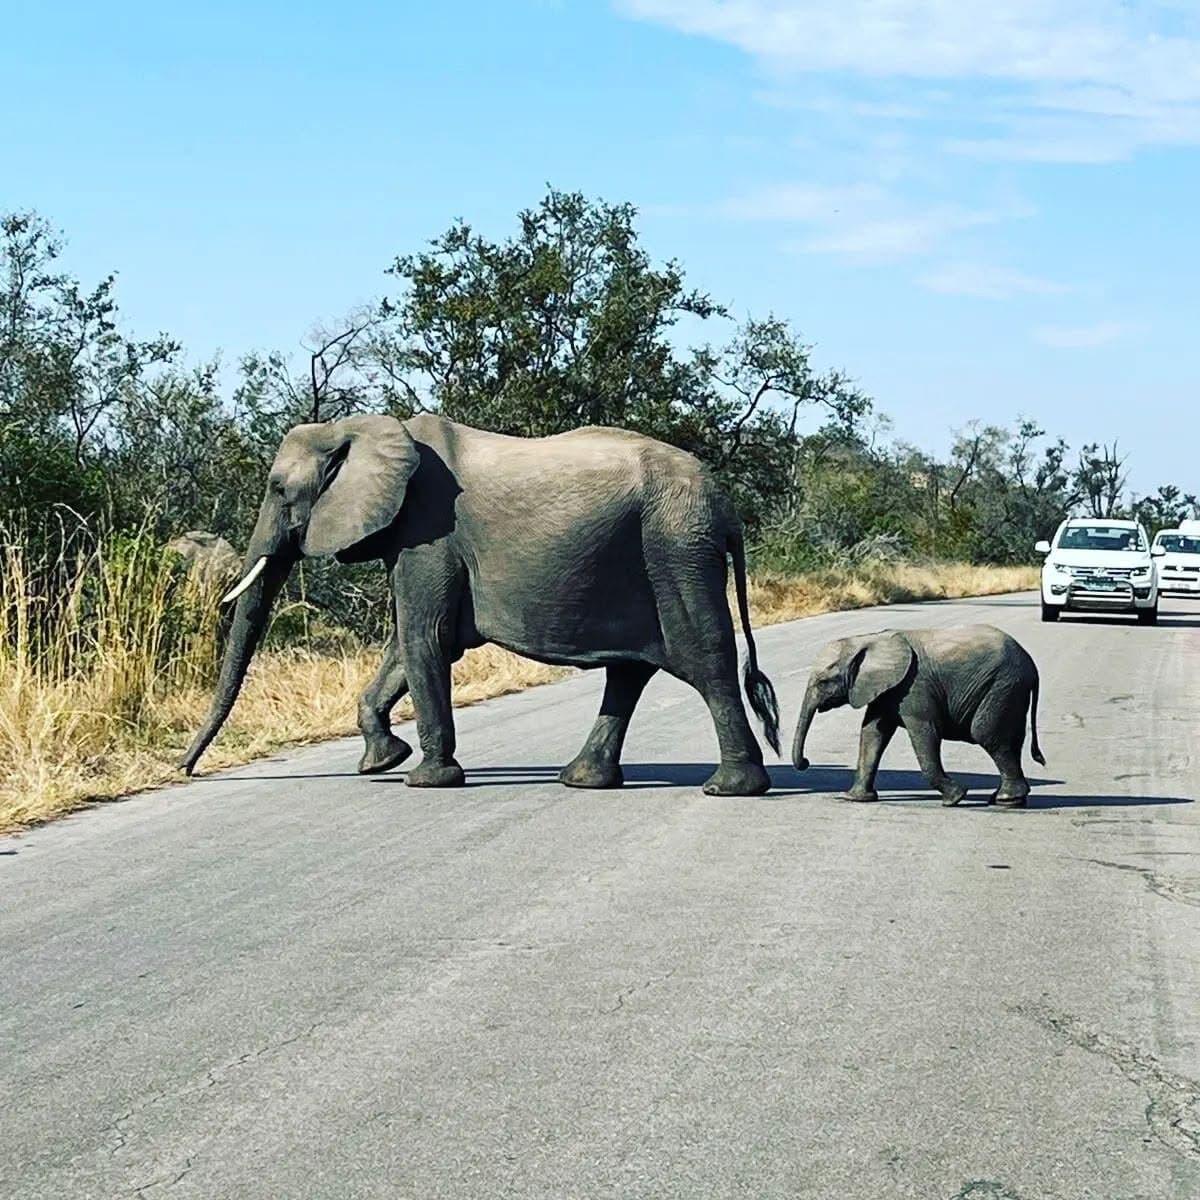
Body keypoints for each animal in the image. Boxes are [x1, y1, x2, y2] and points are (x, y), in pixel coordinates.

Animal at [180, 413, 781, 795]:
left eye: (279, 489)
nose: (186, 769)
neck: (359, 428)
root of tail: (725, 504)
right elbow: (408, 646)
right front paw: (382, 762)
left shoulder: (428, 532)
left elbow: (424, 639)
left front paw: (424, 780)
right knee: (629, 671)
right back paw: (584, 780)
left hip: (676, 547)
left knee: (704, 660)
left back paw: (730, 789)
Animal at [791, 624, 1045, 807]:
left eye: (823, 682)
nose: (805, 762)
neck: (867, 640)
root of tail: (1032, 666)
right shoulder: (888, 689)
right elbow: (873, 733)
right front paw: (854, 798)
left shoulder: (914, 687)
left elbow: (925, 733)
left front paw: (955, 798)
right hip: (1009, 689)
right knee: (1008, 740)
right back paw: (1006, 798)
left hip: (1003, 686)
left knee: (987, 734)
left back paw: (1007, 800)